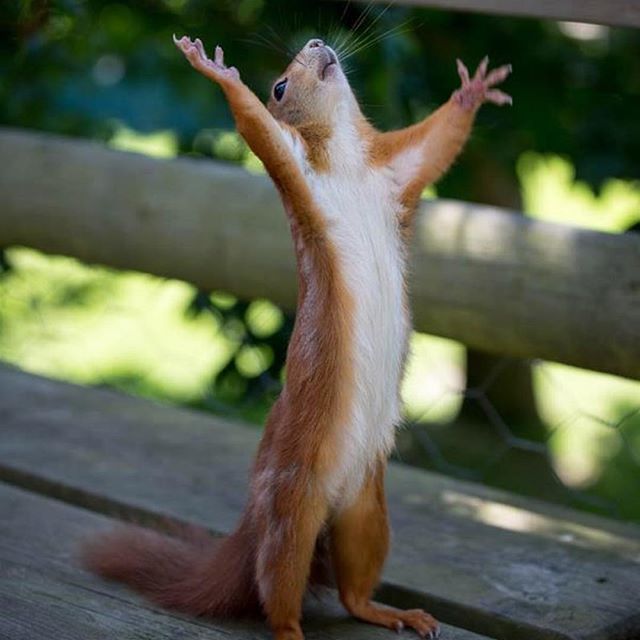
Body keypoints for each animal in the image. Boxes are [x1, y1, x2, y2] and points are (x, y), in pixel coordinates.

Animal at [84, 34, 511, 640]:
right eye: (280, 86)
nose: (316, 42)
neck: (349, 163)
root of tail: (254, 522)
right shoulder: (295, 169)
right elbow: (256, 127)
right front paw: (217, 71)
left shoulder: (396, 172)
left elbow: (437, 142)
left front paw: (472, 91)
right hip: (292, 509)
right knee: (277, 589)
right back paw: (292, 628)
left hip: (367, 511)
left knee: (354, 590)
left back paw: (392, 611)